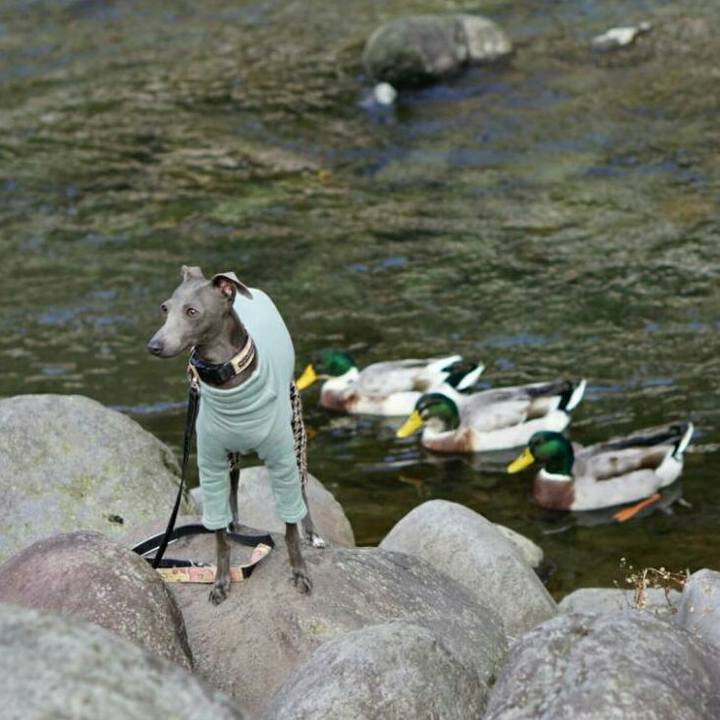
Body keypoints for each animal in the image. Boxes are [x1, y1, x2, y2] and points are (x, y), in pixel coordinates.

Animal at [147, 265, 323, 604]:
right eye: (164, 308)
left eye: (192, 311)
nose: (154, 346)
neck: (227, 380)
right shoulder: (211, 461)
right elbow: (219, 539)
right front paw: (220, 581)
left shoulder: (281, 459)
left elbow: (290, 529)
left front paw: (299, 573)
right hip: (231, 457)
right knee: (234, 488)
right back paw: (234, 524)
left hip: (296, 435)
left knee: (302, 488)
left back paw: (312, 533)